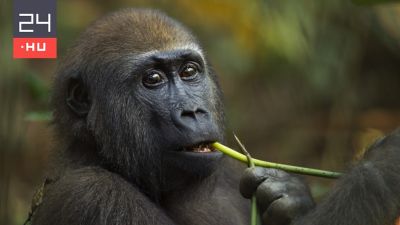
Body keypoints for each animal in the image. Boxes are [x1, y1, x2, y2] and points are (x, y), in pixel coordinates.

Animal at [28, 7, 400, 224]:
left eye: (189, 71)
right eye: (153, 79)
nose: (194, 111)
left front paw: (289, 195)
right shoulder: (91, 194)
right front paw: (380, 170)